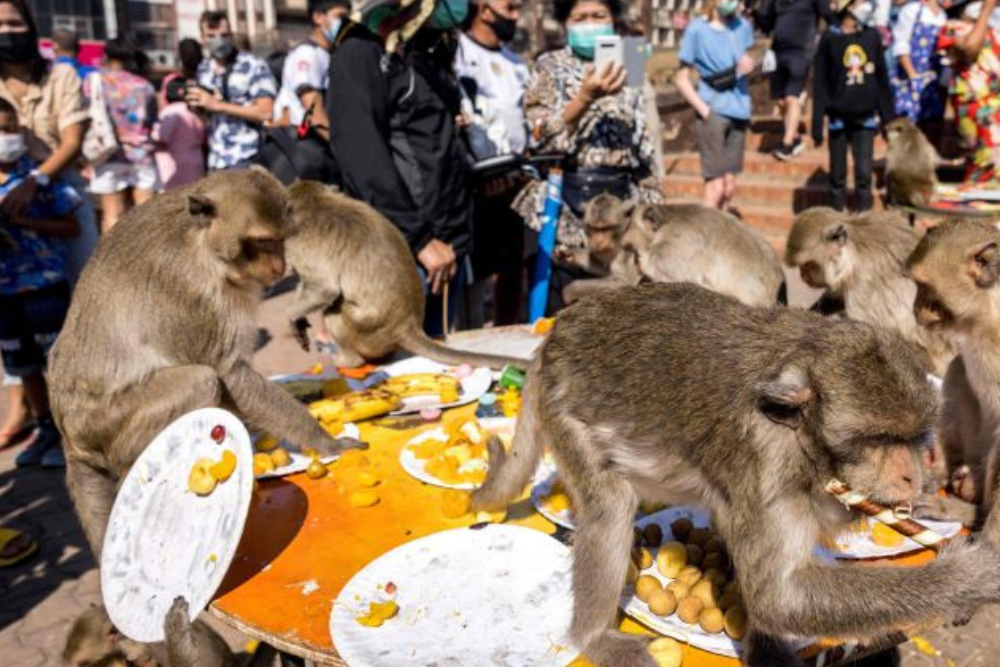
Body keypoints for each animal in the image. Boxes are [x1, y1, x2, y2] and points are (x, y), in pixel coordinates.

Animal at [48, 169, 361, 564]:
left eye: (281, 240)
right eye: (262, 241)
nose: (280, 267)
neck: (203, 247)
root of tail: (68, 434)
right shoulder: (189, 292)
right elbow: (229, 374)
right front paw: (325, 441)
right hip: (105, 422)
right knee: (201, 380)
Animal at [283, 181, 525, 369]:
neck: (317, 201)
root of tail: (408, 327)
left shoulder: (299, 243)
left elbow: (324, 289)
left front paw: (292, 316)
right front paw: (299, 318)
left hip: (368, 332)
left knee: (334, 308)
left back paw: (350, 361)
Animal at [472, 282, 1000, 667]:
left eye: (913, 438)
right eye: (879, 439)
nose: (912, 476)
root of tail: (556, 332)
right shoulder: (766, 463)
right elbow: (780, 596)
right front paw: (968, 577)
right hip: (566, 408)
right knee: (610, 508)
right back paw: (594, 637)